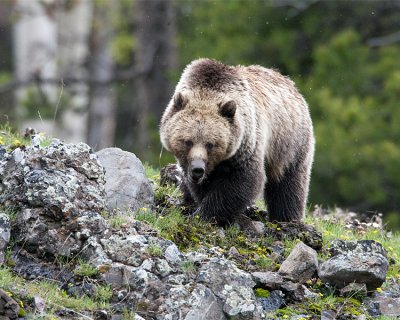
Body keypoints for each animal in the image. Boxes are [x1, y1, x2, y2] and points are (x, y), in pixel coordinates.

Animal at [159, 58, 312, 224]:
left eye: (210, 144)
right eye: (188, 141)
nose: (197, 169)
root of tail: (291, 83)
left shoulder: (245, 145)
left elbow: (242, 181)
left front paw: (206, 214)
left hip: (289, 144)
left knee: (288, 184)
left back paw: (286, 218)